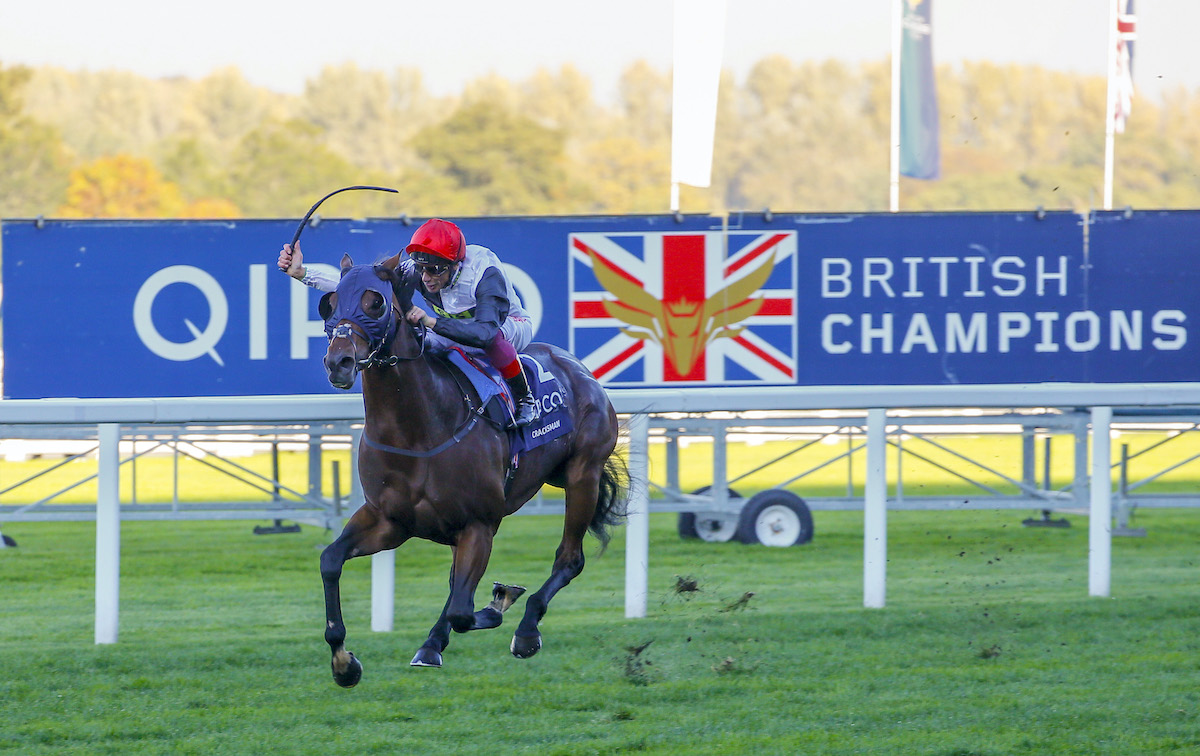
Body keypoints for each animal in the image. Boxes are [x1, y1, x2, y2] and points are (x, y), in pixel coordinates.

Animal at [314, 253, 628, 686]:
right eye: (329, 303)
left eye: (374, 302)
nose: (339, 362)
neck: (416, 431)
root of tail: (578, 368)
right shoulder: (389, 520)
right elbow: (330, 560)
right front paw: (344, 661)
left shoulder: (479, 523)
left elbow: (465, 610)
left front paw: (500, 601)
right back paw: (433, 643)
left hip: (584, 474)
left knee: (569, 559)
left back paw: (525, 630)